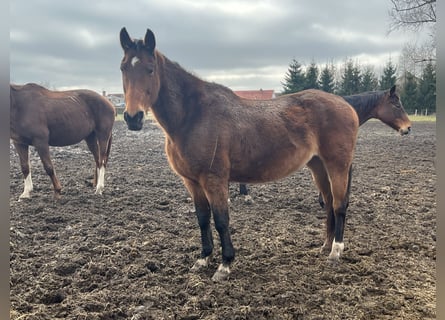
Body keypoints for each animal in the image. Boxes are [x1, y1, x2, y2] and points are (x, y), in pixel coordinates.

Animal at [119, 28, 360, 282]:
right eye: (123, 68)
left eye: (150, 69)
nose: (133, 118)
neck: (193, 116)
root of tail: (346, 105)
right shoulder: (192, 182)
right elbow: (202, 218)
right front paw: (203, 258)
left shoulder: (214, 180)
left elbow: (221, 221)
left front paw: (224, 265)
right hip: (318, 166)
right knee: (330, 202)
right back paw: (326, 245)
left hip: (337, 165)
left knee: (339, 204)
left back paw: (335, 252)